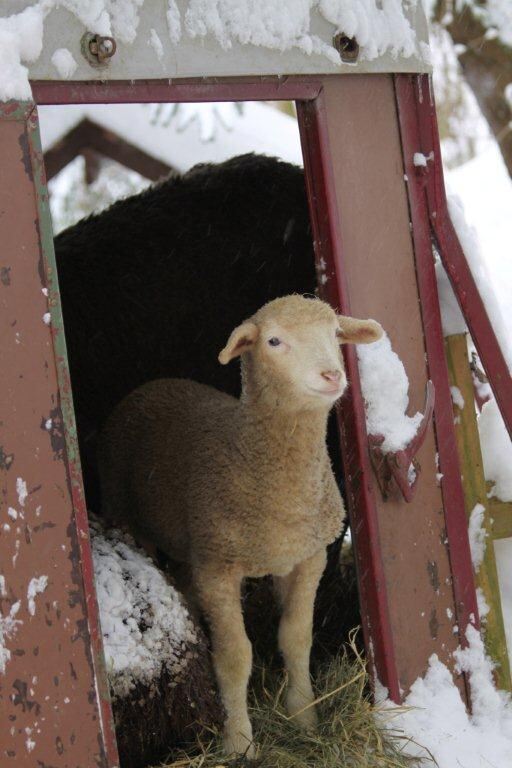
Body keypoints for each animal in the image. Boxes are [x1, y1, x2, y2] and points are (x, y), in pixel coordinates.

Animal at [98, 294, 382, 756]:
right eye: (273, 341)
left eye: (335, 333)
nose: (331, 374)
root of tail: (154, 384)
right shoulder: (218, 568)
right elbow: (235, 657)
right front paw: (238, 742)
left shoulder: (307, 557)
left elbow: (295, 637)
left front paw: (304, 717)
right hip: (127, 511)